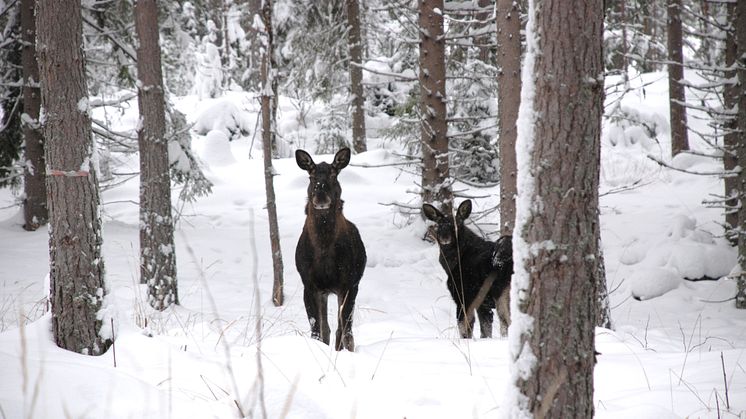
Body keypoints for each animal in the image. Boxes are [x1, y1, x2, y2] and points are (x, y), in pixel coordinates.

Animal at [296, 148, 366, 352]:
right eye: (311, 176)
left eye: (334, 174)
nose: (320, 196)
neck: (323, 249)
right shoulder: (309, 284)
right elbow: (317, 329)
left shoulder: (348, 284)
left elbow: (345, 330)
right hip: (325, 292)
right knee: (327, 327)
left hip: (351, 286)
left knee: (342, 328)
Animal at [424, 201, 512, 342]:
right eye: (438, 224)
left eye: (458, 224)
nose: (444, 237)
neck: (452, 265)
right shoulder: (483, 304)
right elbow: (485, 331)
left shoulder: (464, 297)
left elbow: (465, 329)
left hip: (503, 293)